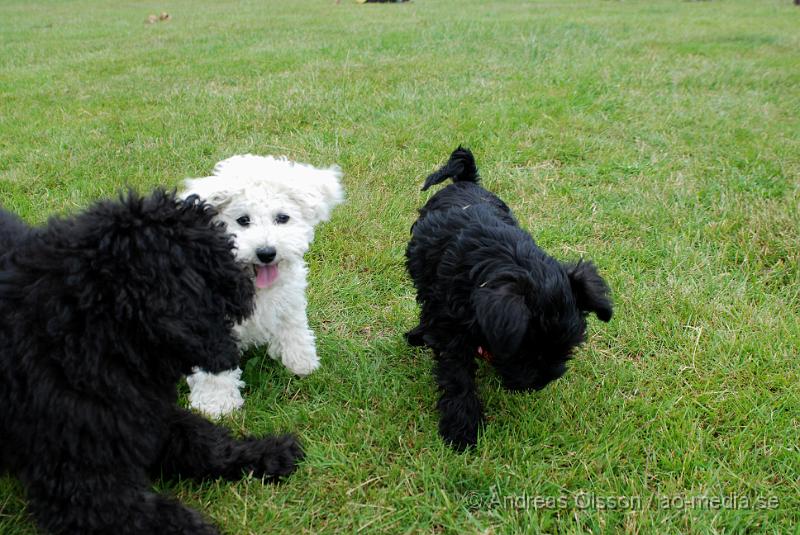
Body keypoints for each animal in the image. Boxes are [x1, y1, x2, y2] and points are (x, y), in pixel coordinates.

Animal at [0, 192, 304, 535]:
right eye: (215, 259)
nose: (252, 281)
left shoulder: (146, 412)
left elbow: (201, 439)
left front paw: (264, 453)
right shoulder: (81, 487)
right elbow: (161, 518)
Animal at [181, 155, 344, 418]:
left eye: (282, 218)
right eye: (243, 220)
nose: (266, 252)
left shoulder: (289, 301)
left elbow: (294, 328)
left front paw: (301, 362)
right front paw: (216, 404)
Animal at [406, 148, 612, 452]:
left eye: (566, 349)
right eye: (526, 351)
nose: (541, 381)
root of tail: (466, 180)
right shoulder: (452, 332)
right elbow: (458, 378)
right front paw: (462, 428)